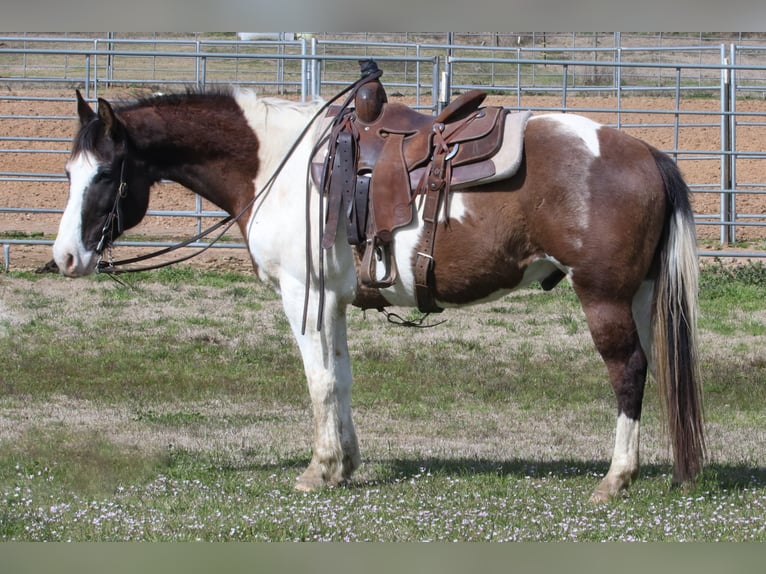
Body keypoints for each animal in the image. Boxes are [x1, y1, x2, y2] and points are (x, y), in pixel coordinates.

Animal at [51, 79, 704, 502]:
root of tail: (648, 153)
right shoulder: (331, 302)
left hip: (603, 297)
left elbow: (318, 382)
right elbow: (339, 380)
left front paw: (318, 470)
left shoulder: (302, 296)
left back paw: (615, 479)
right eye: (68, 172)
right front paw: (345, 465)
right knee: (652, 368)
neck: (278, 166)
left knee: (628, 372)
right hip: (640, 296)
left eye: (105, 174)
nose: (65, 258)